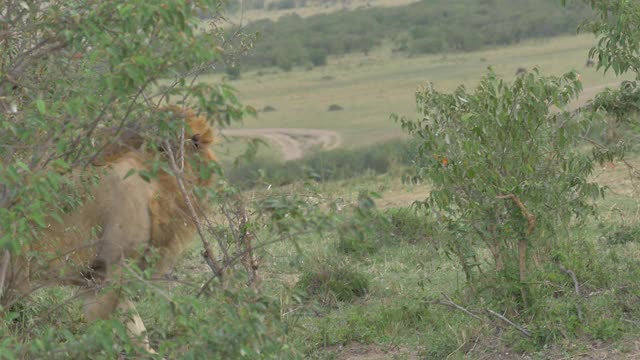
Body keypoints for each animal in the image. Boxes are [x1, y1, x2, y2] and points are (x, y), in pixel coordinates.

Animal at [0, 105, 218, 352]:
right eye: (198, 142)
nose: (213, 168)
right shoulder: (112, 268)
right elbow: (117, 325)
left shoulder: (93, 277)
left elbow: (135, 328)